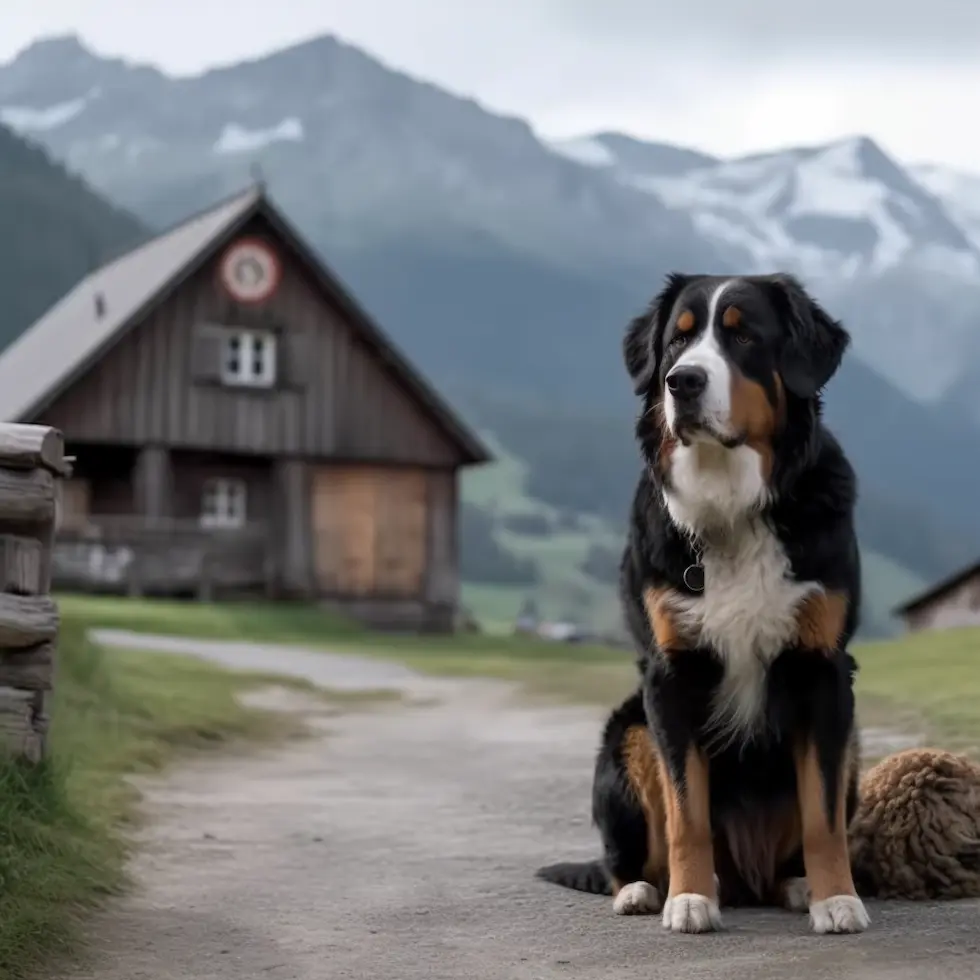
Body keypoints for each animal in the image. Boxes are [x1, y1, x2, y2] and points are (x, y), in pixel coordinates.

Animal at [536, 274, 864, 936]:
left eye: (743, 335)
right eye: (677, 341)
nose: (681, 381)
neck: (731, 505)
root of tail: (747, 877)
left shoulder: (824, 671)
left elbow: (823, 816)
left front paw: (836, 899)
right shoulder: (670, 676)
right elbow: (686, 811)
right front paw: (688, 900)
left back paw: (793, 885)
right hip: (628, 732)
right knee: (628, 856)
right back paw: (646, 891)